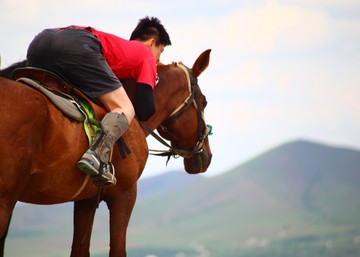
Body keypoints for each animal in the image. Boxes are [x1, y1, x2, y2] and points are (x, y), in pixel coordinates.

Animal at [0, 49, 212, 255]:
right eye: (204, 102)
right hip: (5, 200)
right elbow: (118, 250)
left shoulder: (86, 200)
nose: (207, 156)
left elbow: (80, 249)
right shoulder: (125, 195)